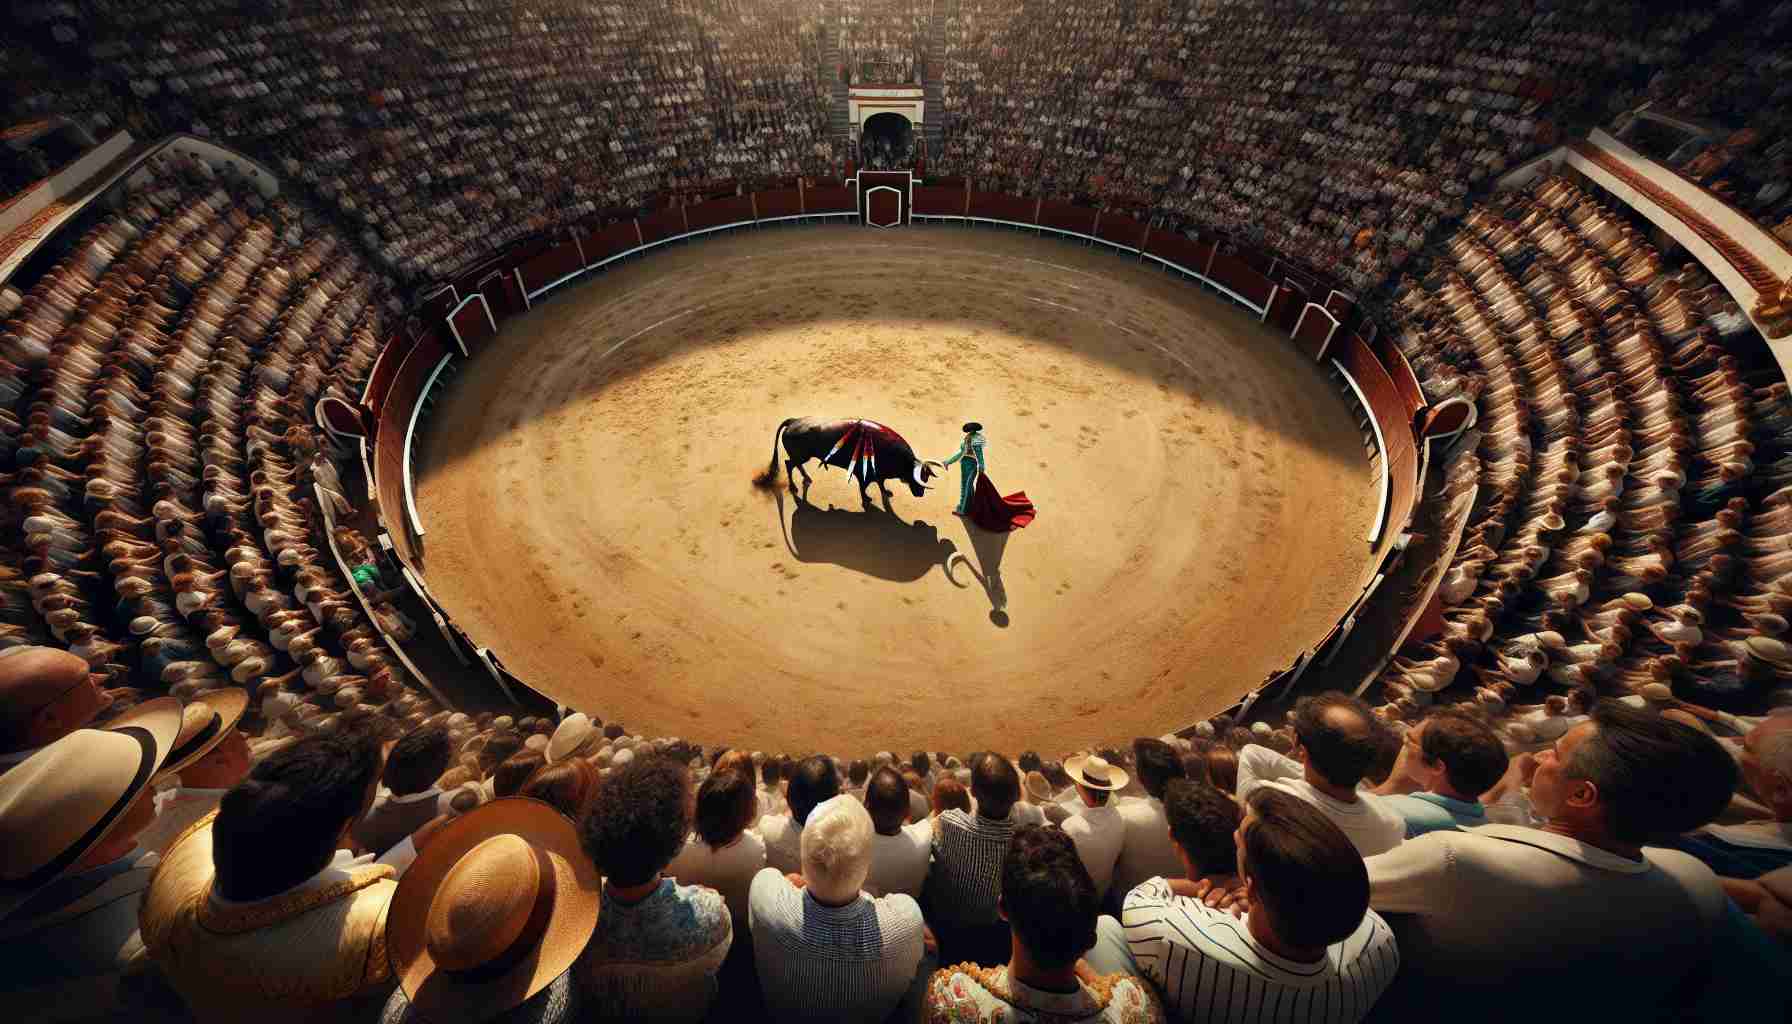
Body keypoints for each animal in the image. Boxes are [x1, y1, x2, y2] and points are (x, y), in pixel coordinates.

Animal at [770, 416, 946, 509]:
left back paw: (806, 478)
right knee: (789, 464)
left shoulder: (879, 475)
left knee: (795, 465)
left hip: (803, 456)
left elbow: (881, 484)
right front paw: (867, 499)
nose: (920, 494)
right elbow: (864, 487)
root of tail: (793, 421)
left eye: (926, 477)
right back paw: (793, 486)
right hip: (801, 455)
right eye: (919, 477)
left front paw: (886, 492)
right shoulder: (863, 475)